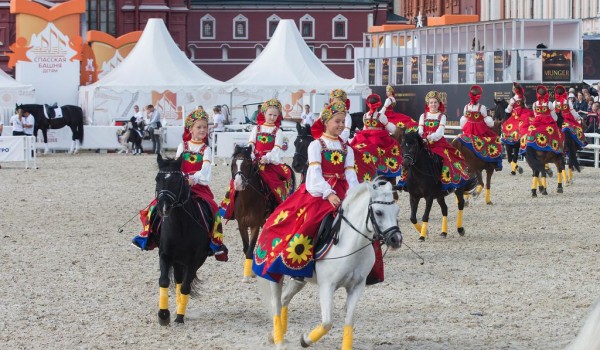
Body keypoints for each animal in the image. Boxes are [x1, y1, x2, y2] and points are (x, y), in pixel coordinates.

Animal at [155, 155, 211, 326]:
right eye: (157, 179)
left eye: (176, 181)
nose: (163, 207)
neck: (180, 227)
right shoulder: (165, 255)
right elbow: (164, 281)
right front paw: (163, 315)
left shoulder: (194, 260)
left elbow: (186, 287)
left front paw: (179, 317)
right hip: (178, 262)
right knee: (178, 281)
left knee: (184, 283)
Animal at [262, 180, 404, 350]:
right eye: (379, 212)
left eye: (397, 211)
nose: (396, 239)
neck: (351, 245)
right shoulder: (327, 286)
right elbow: (327, 323)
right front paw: (304, 340)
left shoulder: (357, 287)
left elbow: (349, 321)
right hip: (274, 274)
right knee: (276, 302)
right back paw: (279, 340)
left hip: (299, 280)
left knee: (285, 298)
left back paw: (275, 335)